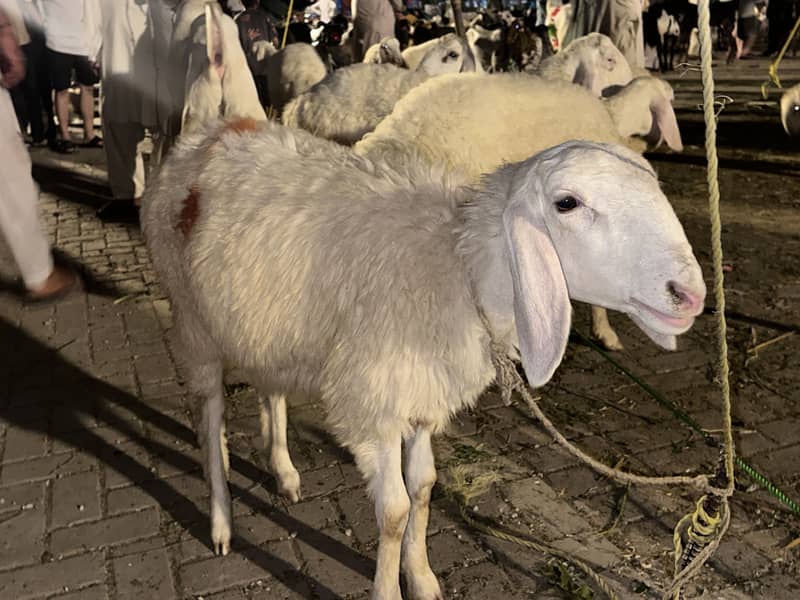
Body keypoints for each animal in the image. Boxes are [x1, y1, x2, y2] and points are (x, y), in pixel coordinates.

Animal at [142, 119, 706, 597]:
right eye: (567, 203)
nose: (690, 295)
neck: (456, 268)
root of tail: (208, 133)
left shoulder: (422, 396)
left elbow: (424, 489)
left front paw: (421, 576)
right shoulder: (374, 404)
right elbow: (393, 511)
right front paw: (388, 589)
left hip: (264, 326)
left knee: (270, 389)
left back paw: (283, 471)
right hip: (194, 322)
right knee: (210, 417)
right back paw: (220, 521)